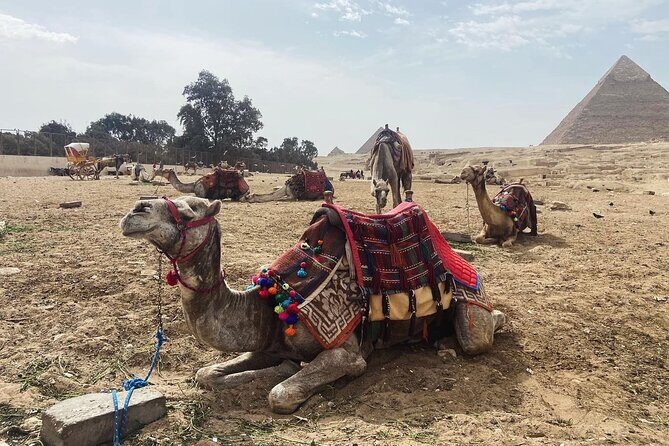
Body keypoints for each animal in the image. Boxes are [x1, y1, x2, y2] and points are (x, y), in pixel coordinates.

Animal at [120, 196, 506, 414]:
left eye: (190, 210)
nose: (134, 211)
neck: (271, 303)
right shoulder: (268, 342)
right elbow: (206, 374)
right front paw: (282, 366)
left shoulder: (345, 350)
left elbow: (280, 393)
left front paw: (287, 374)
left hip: (470, 302)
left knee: (479, 335)